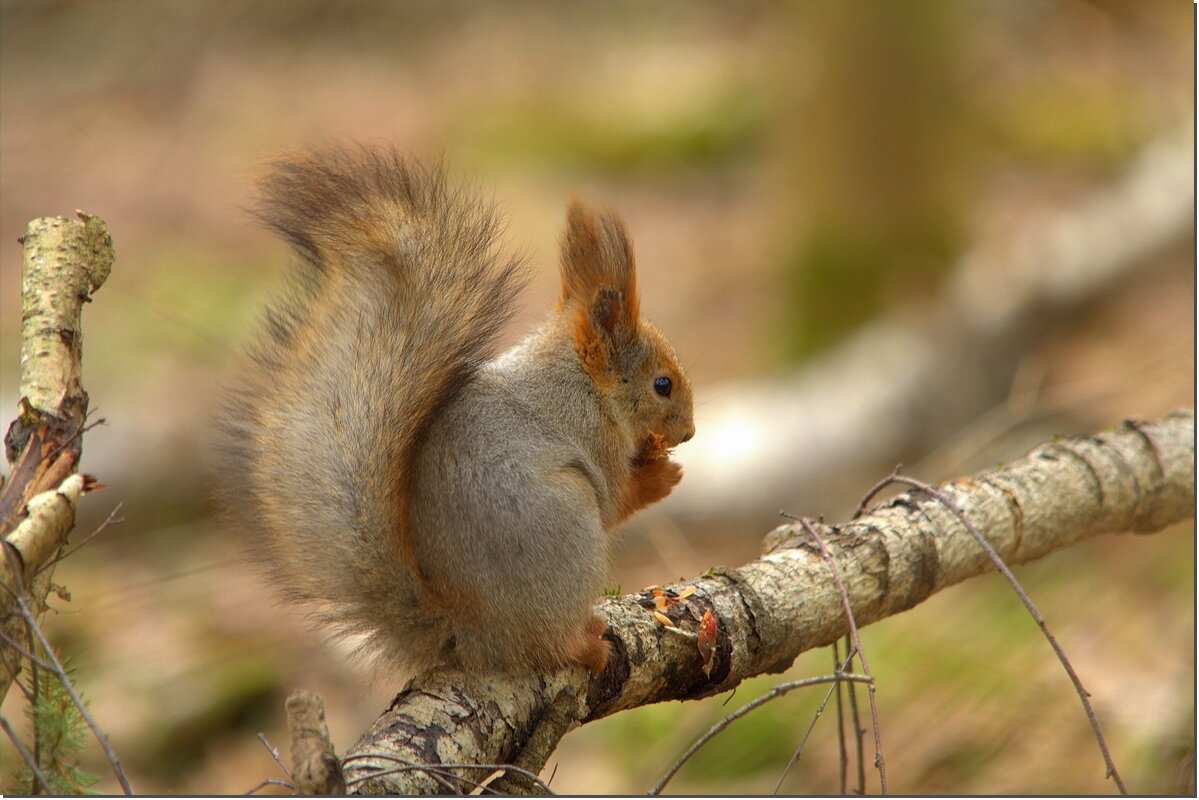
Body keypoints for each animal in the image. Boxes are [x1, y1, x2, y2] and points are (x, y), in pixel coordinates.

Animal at [218, 146, 695, 681]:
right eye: (662, 385)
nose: (691, 432)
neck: (583, 381)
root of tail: (472, 636)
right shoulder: (594, 436)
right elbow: (616, 499)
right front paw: (660, 475)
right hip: (567, 524)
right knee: (546, 646)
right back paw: (584, 646)